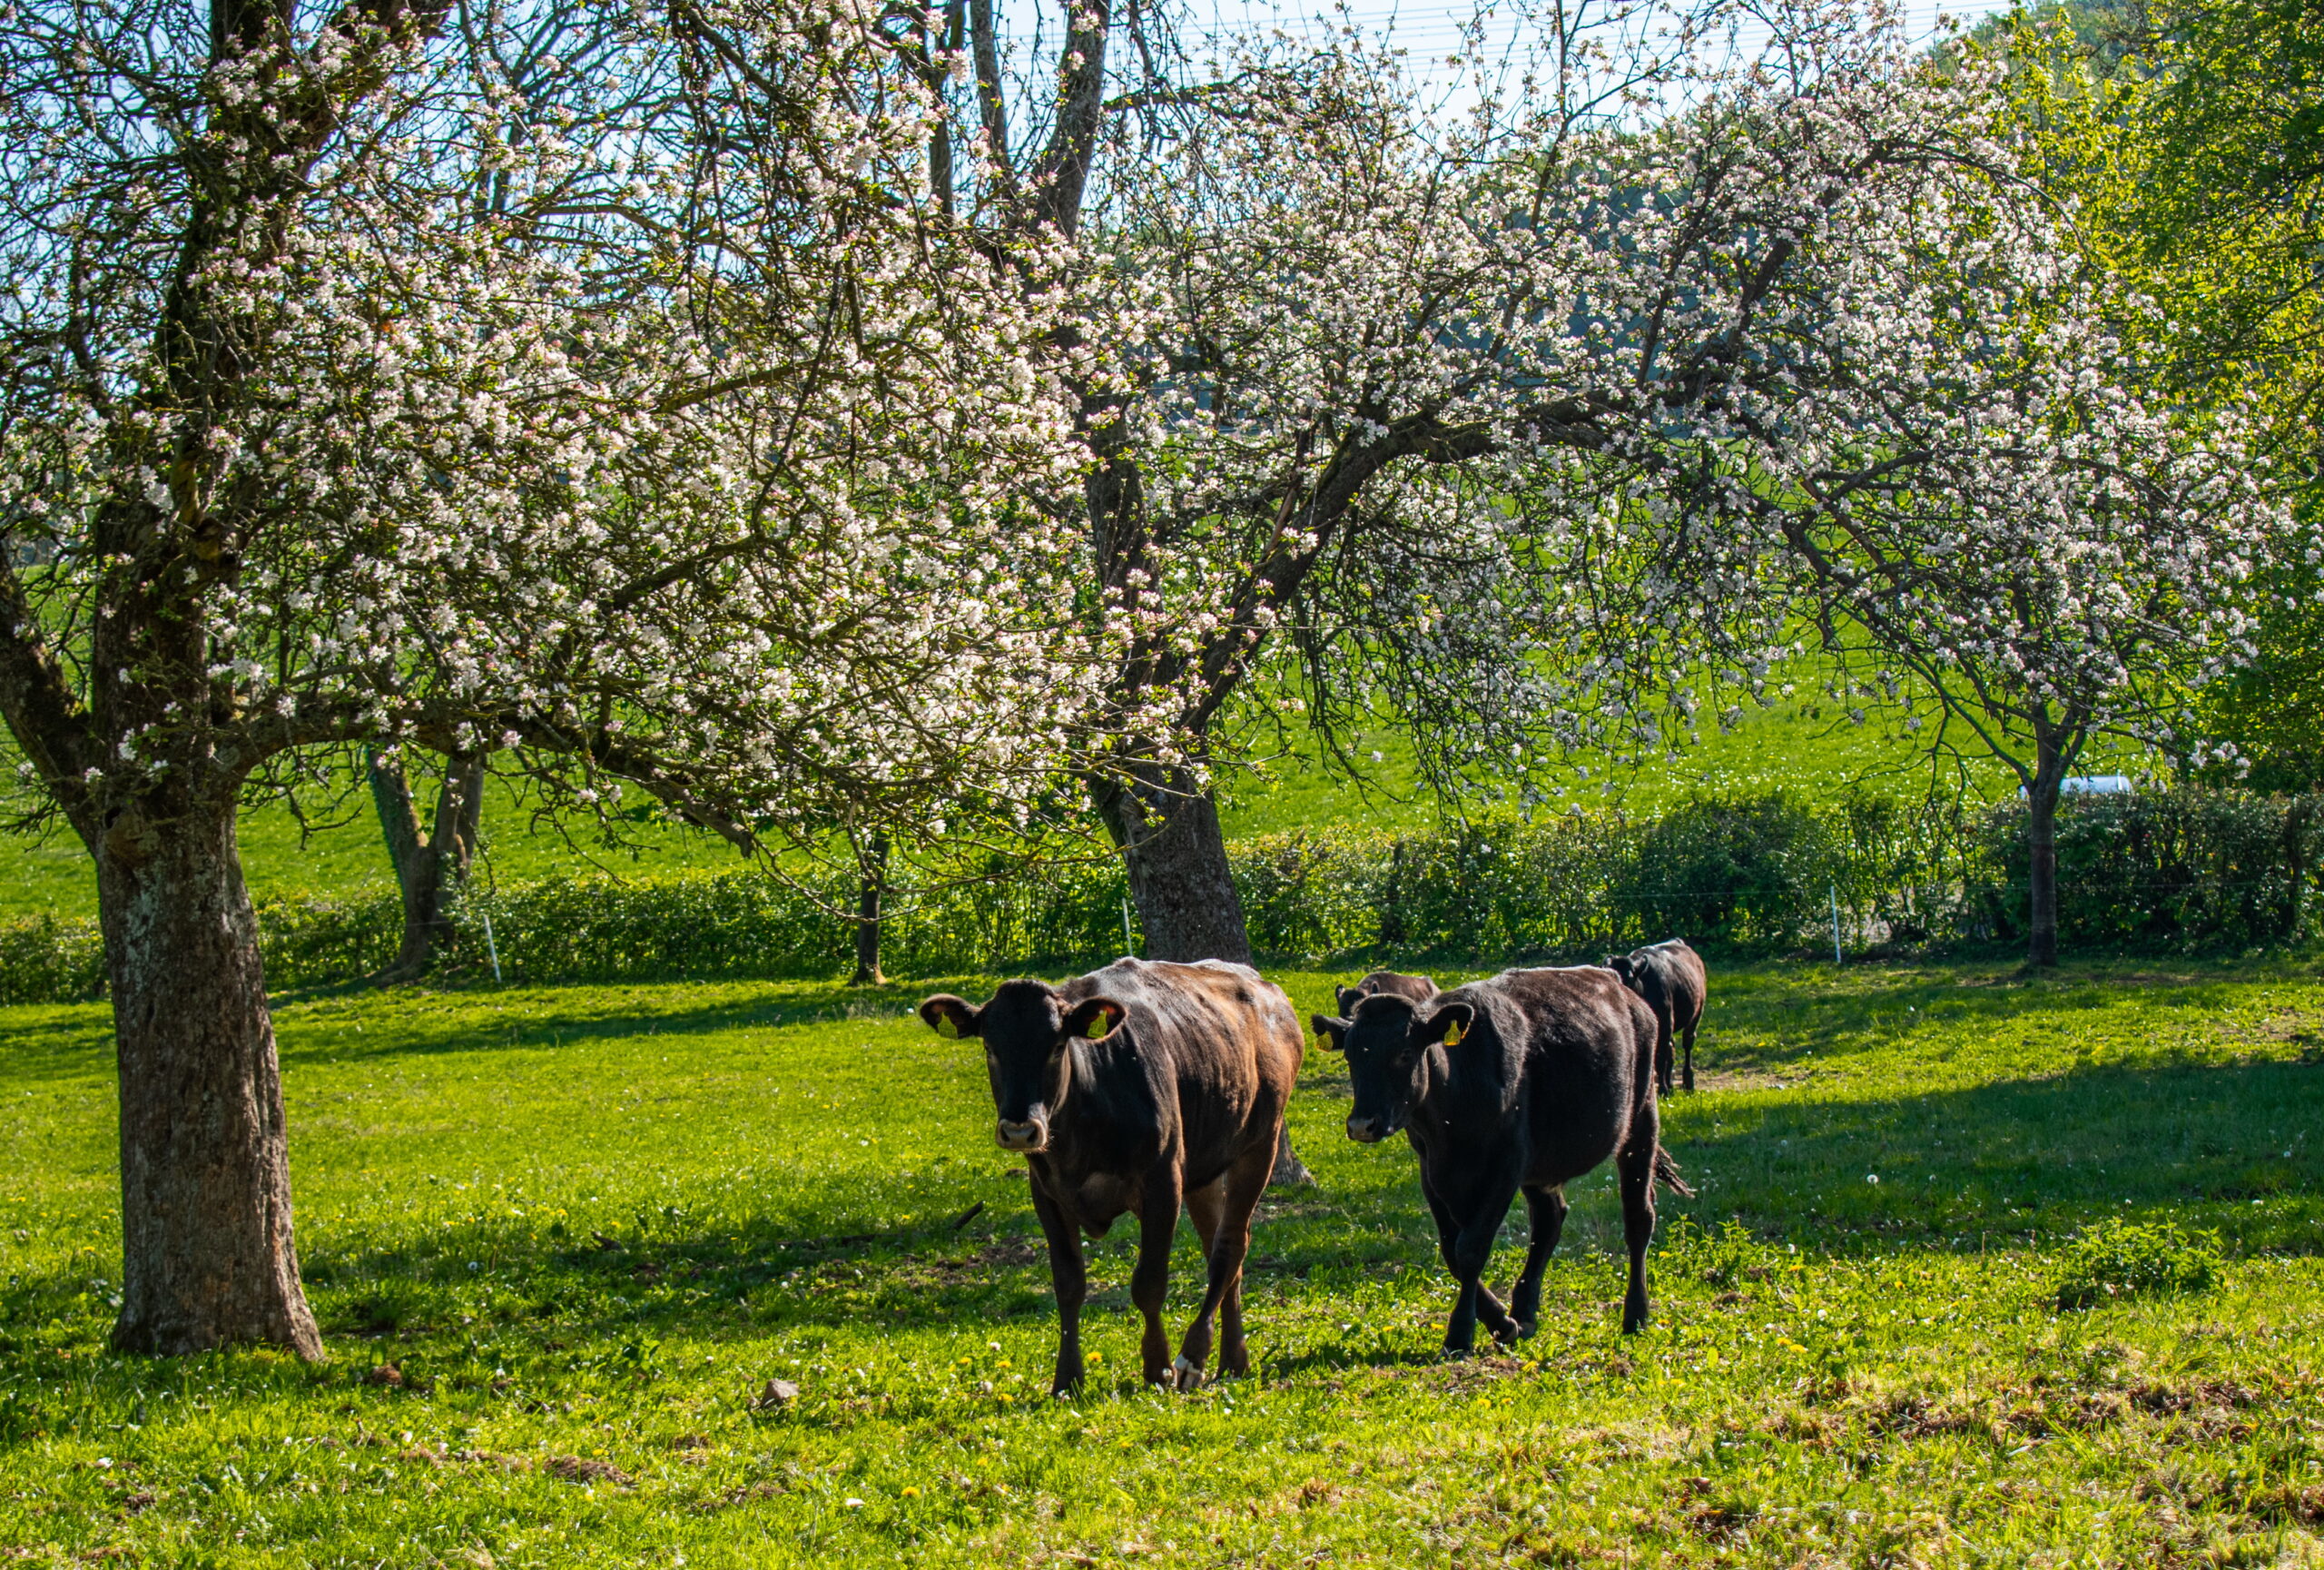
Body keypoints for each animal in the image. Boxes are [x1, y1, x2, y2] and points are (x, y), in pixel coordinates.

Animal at [911, 958, 1310, 1405]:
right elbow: (1069, 1285)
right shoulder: (1046, 1193)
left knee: (1230, 1247)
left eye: (1057, 1047)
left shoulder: (1162, 1182)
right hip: (1204, 1165)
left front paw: (1157, 1367)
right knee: (1222, 1255)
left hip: (1261, 1142)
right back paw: (1233, 1360)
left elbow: (1148, 1284)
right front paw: (1067, 1380)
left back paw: (1194, 1357)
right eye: (989, 1048)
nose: (1019, 1130)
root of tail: (1262, 986)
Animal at [1310, 963, 1691, 1358]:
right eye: (1351, 1056)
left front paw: (1460, 1334)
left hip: (1641, 1121)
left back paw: (1636, 1314)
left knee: (1638, 1219)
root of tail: (1615, 983)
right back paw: (1524, 1311)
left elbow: (1470, 1248)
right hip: (1542, 1164)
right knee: (1549, 1220)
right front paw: (1502, 1322)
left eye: (1403, 1053)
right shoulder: (1431, 1170)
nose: (1362, 1125)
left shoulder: (1506, 1164)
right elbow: (1451, 1249)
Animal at [1599, 939, 1710, 1098]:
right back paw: (1671, 1084)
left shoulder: (1665, 1024)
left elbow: (1659, 1058)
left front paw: (1662, 1090)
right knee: (1671, 1049)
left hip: (1696, 1013)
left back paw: (1688, 1083)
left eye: (1629, 977)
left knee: (1687, 1042)